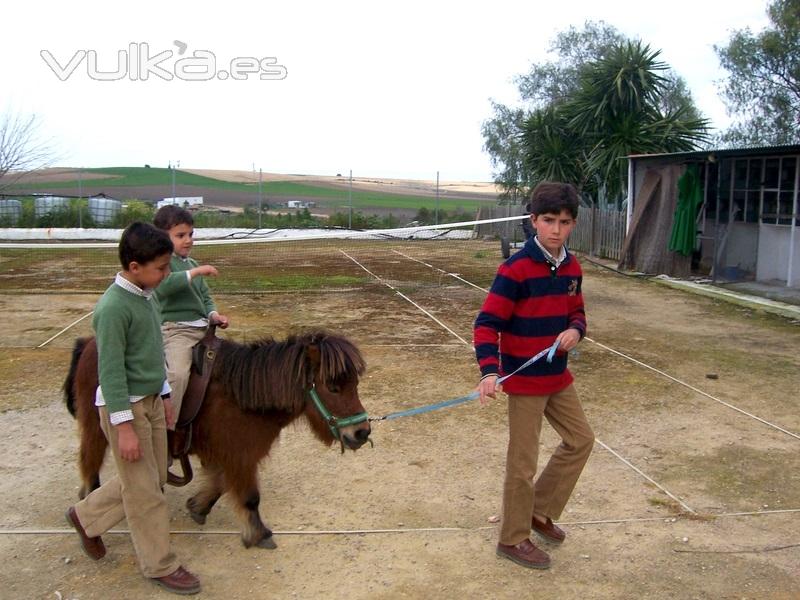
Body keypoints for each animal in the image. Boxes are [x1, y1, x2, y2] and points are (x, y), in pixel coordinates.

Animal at [64, 330, 370, 552]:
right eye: (332, 387)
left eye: (355, 384)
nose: (362, 433)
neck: (242, 395)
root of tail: (89, 343)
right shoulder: (240, 455)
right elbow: (249, 498)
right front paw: (258, 535)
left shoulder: (226, 453)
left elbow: (220, 483)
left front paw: (198, 506)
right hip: (97, 427)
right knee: (90, 461)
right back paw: (87, 500)